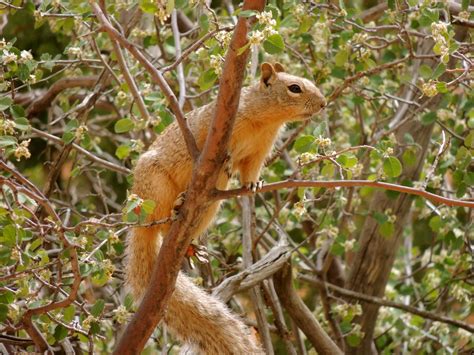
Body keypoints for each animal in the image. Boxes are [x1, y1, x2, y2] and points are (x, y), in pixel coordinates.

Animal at [125, 64, 326, 355]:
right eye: (294, 88)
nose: (323, 103)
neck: (265, 121)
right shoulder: (216, 128)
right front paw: (228, 160)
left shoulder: (259, 151)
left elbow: (251, 170)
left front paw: (253, 184)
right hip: (155, 186)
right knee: (159, 221)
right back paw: (175, 209)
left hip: (211, 205)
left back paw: (190, 246)